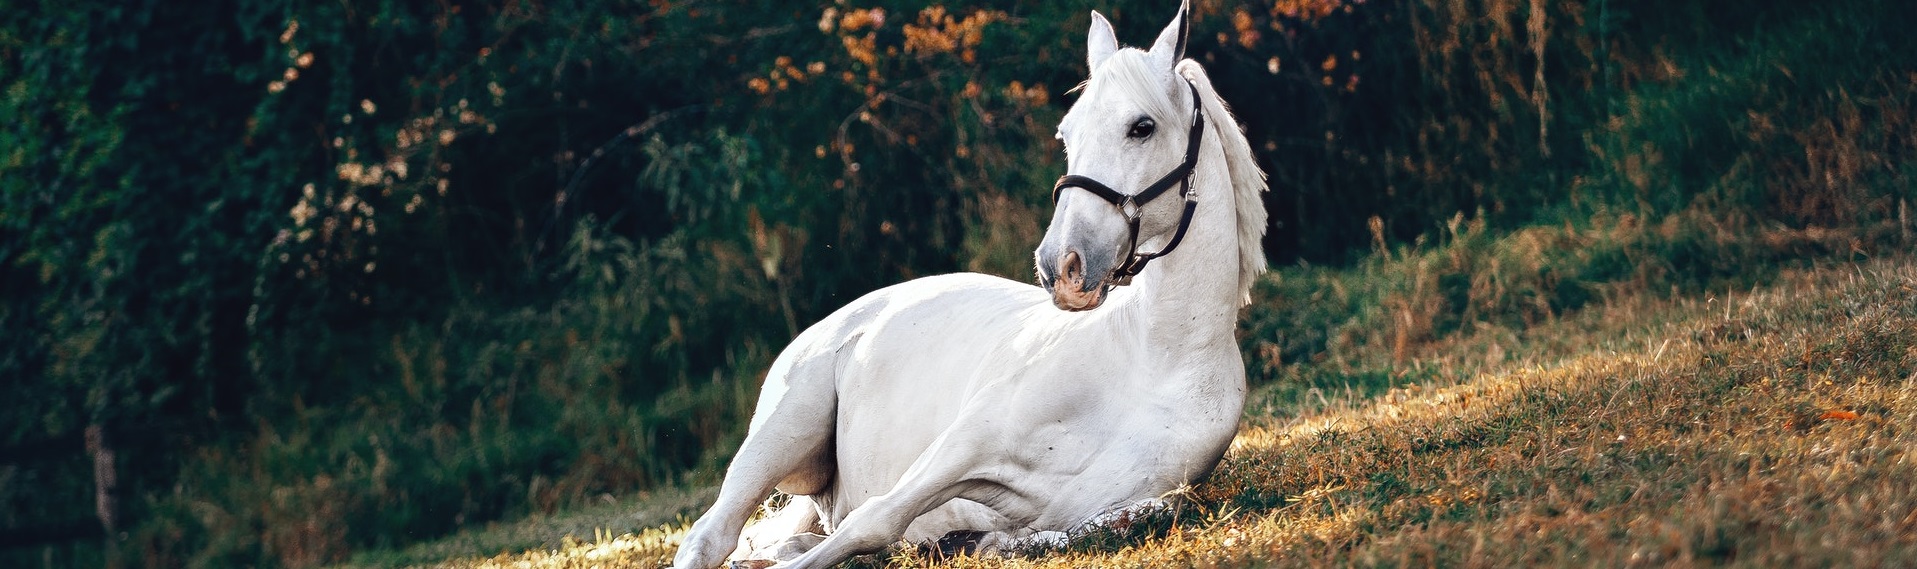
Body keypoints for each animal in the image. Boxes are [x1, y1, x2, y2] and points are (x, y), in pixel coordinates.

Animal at [667, 2, 1265, 563]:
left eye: (1142, 127)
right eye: (1067, 133)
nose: (1061, 267)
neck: (1155, 358)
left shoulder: (1129, 501)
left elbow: (1112, 520)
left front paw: (973, 543)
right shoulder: (966, 444)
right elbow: (874, 519)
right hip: (780, 436)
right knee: (711, 536)